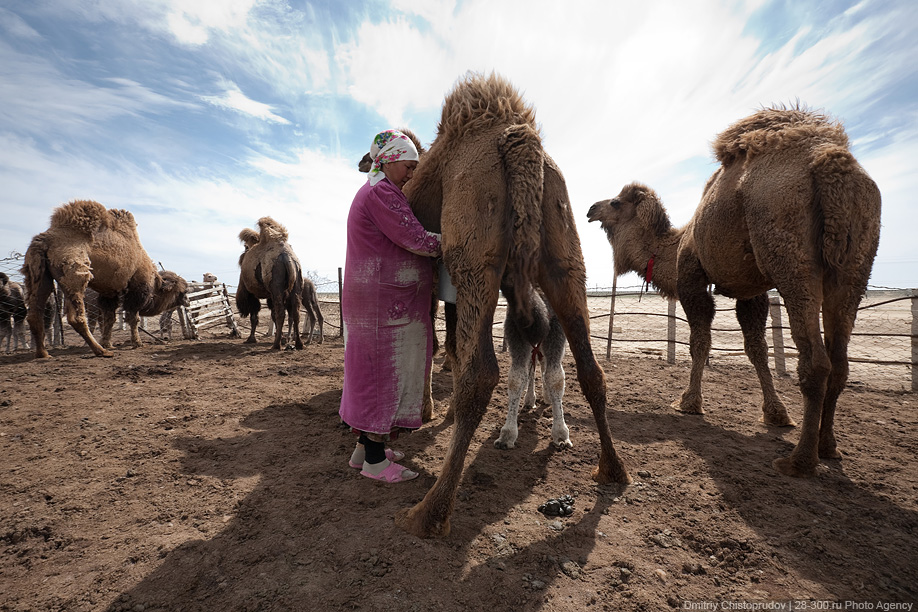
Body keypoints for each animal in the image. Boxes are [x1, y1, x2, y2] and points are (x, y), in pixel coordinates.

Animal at [22, 200, 190, 358]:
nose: (187, 300)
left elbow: (109, 319)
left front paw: (108, 343)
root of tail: (45, 240)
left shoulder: (109, 293)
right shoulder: (136, 291)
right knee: (76, 317)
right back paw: (101, 351)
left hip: (39, 275)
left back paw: (43, 353)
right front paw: (137, 343)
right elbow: (132, 318)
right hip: (75, 274)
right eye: (182, 290)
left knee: (34, 314)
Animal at [235, 216, 304, 350]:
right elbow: (271, 314)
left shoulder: (252, 293)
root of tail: (287, 258)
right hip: (296, 283)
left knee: (281, 312)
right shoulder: (270, 295)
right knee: (295, 312)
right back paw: (298, 344)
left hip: (276, 286)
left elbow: (254, 316)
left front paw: (251, 339)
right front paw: (282, 338)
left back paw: (276, 345)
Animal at [388, 73, 632, 540]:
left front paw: (427, 412)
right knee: (590, 368)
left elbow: (432, 343)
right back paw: (611, 470)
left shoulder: (434, 283)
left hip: (473, 255)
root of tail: (519, 140)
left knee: (482, 373)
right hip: (564, 250)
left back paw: (430, 513)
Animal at [588, 106, 884, 478]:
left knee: (817, 361)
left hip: (789, 250)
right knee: (840, 360)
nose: (590, 209)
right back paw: (828, 447)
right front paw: (775, 413)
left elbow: (700, 342)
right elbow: (756, 348)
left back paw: (800, 460)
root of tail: (832, 162)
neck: (674, 245)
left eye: (614, 202)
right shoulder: (751, 291)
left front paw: (688, 402)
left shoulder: (691, 277)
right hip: (855, 263)